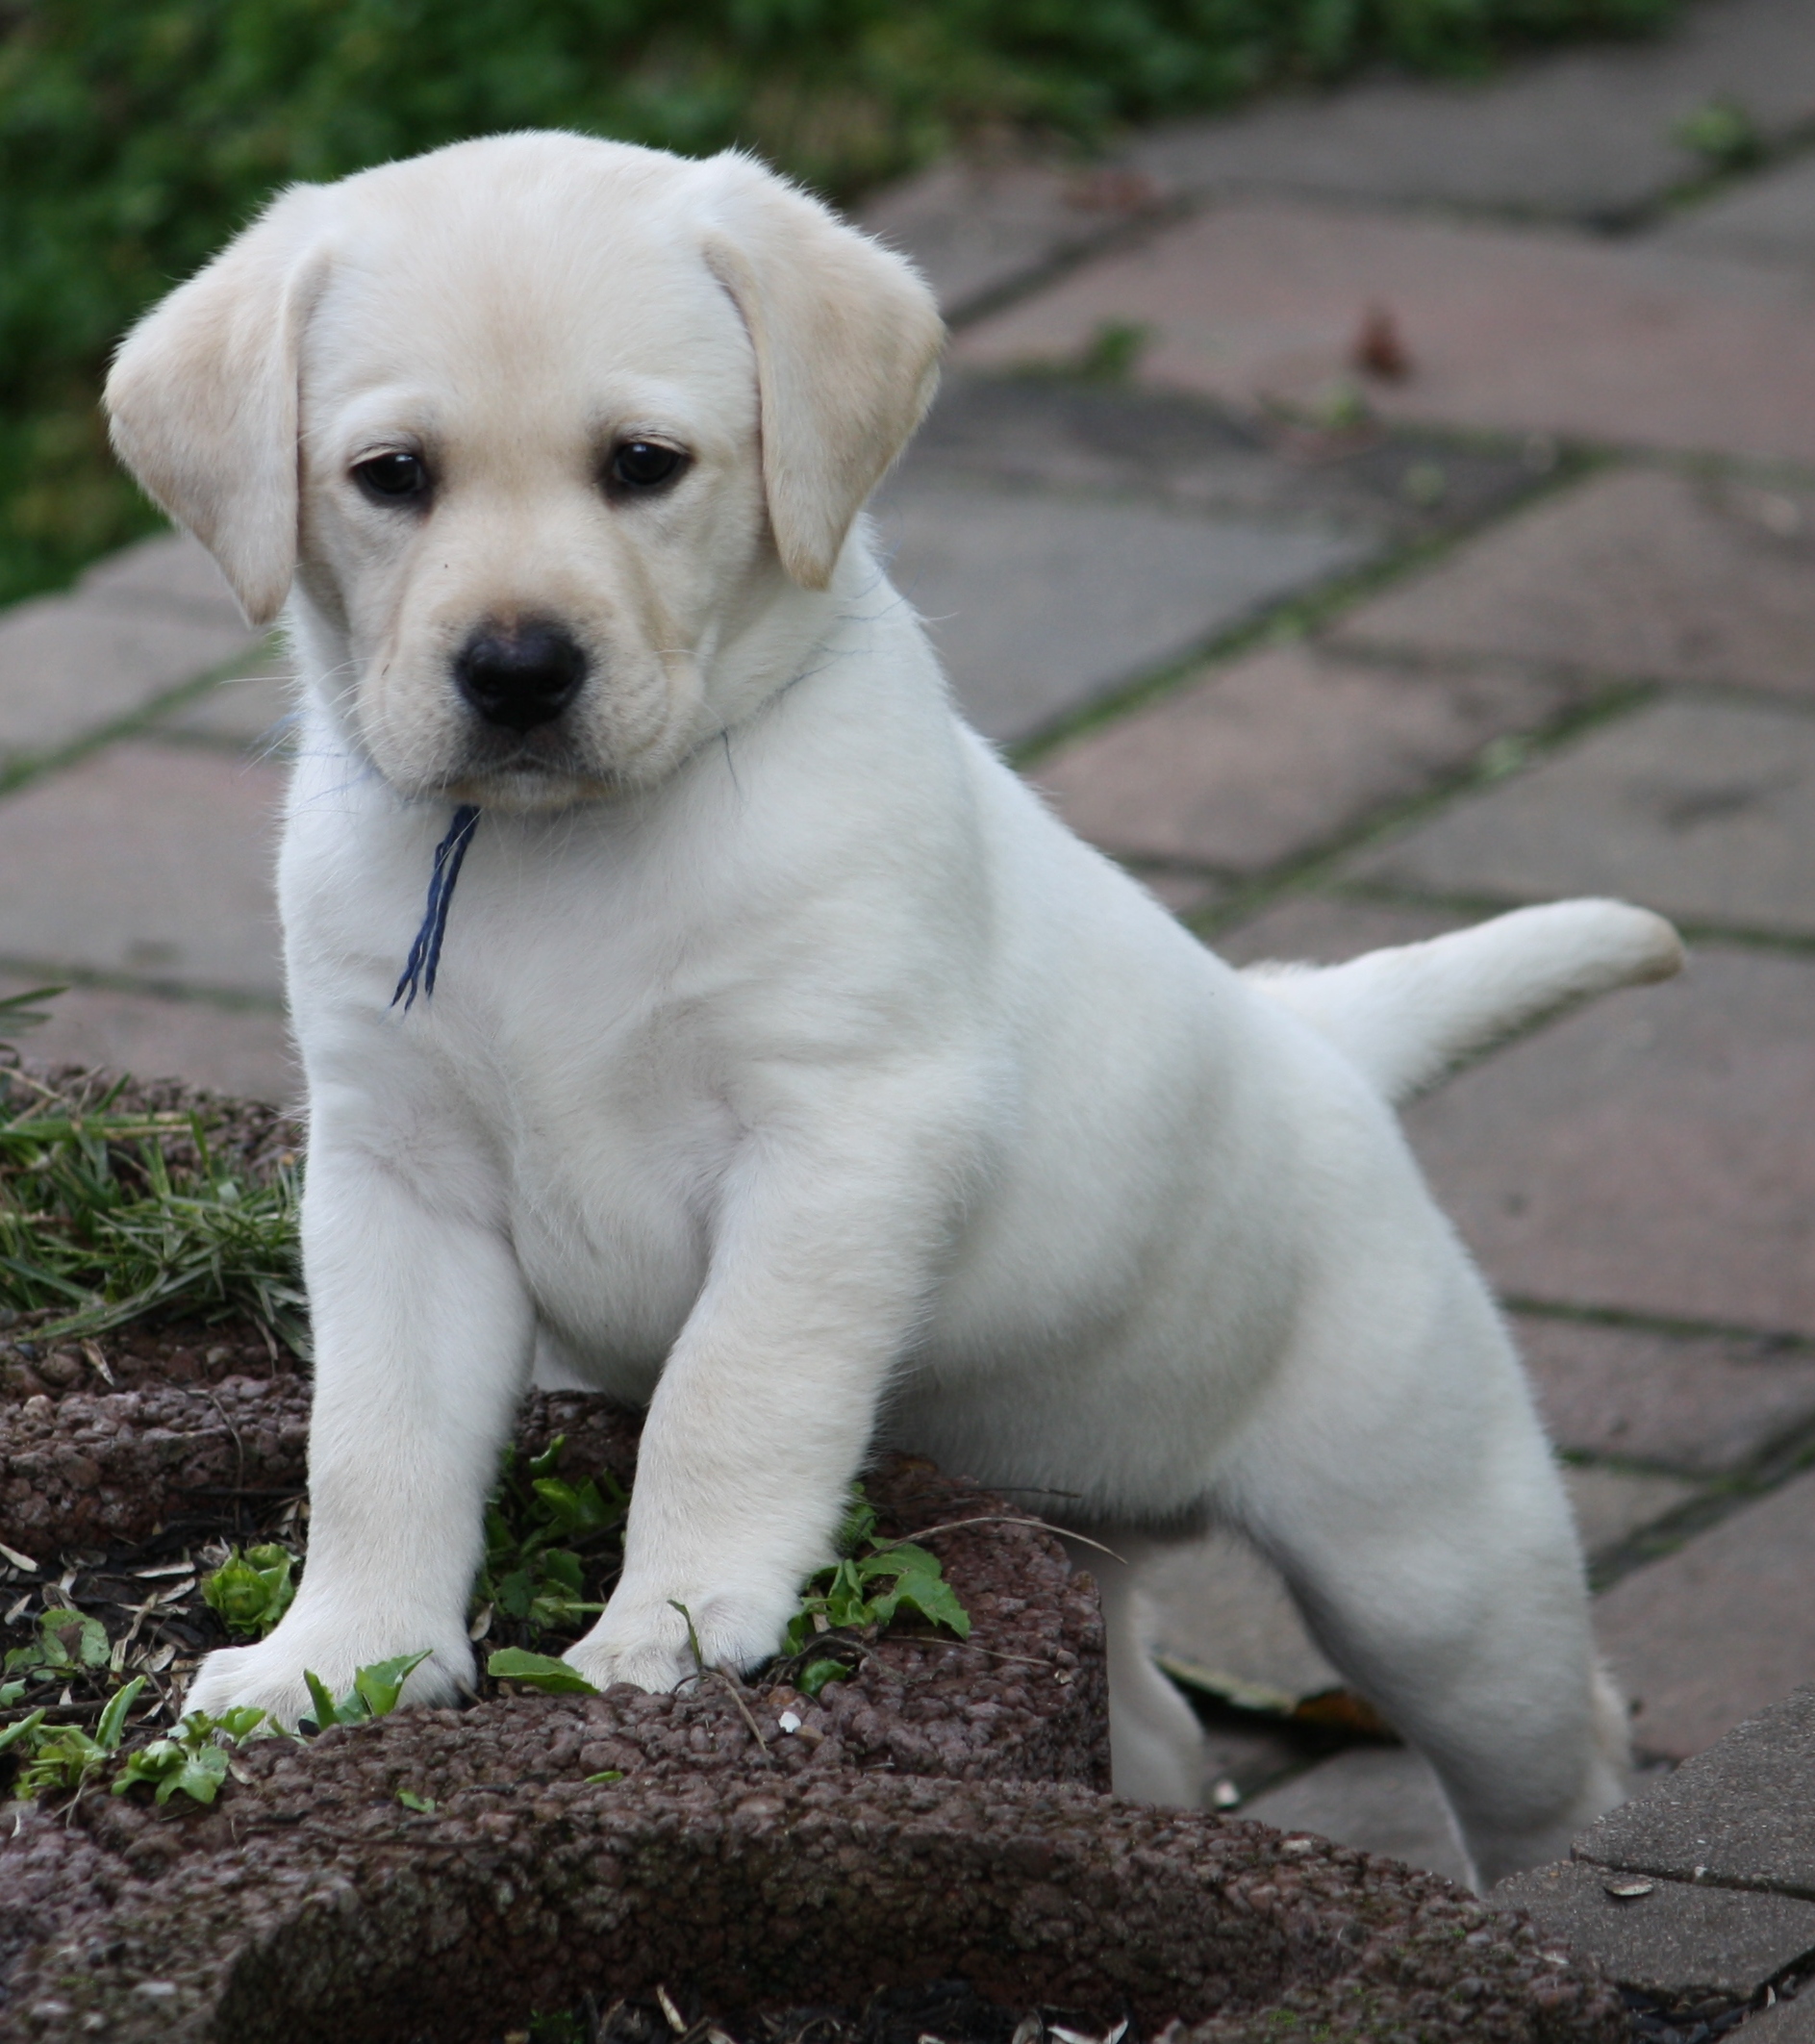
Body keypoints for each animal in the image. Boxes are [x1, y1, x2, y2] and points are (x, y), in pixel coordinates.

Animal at [110, 127, 1676, 1880]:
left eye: (643, 465)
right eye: (391, 477)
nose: (516, 669)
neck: (554, 859)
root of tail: (1312, 1034)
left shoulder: (844, 1136)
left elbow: (725, 1394)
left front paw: (670, 1623)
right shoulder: (396, 1171)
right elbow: (374, 1440)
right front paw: (337, 1656)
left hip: (1429, 1557)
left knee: (1557, 1753)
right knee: (1156, 1727)